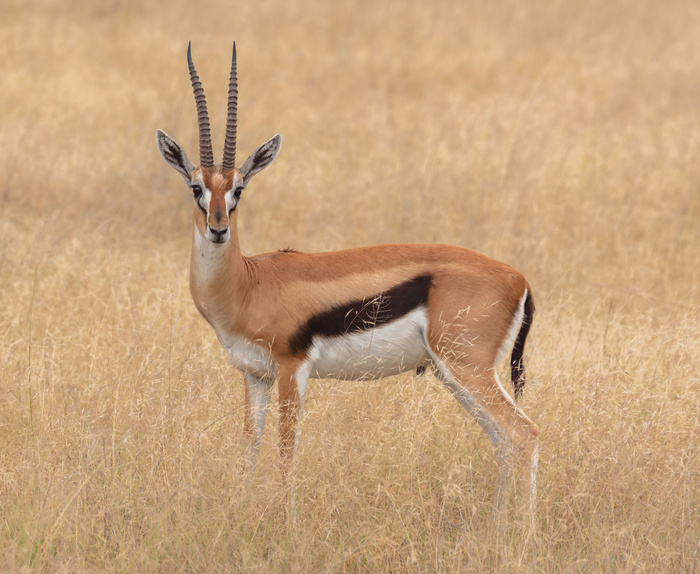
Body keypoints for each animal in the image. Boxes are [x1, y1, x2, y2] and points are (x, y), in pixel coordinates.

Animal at [156, 43, 540, 511]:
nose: (218, 228)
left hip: (467, 369)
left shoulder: (292, 369)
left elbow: (286, 453)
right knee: (503, 442)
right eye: (196, 187)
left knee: (525, 434)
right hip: (455, 375)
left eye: (239, 189)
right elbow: (249, 448)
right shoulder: (255, 375)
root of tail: (519, 279)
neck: (248, 284)